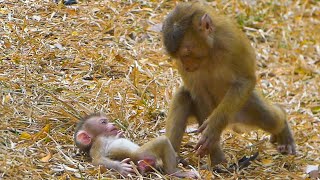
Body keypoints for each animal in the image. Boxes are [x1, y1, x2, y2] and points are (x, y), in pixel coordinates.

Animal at [161, 1, 296, 165]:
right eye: (179, 57)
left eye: (187, 53)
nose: (186, 66)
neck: (210, 53)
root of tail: (233, 122)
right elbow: (199, 94)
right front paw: (216, 156)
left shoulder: (231, 42)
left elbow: (245, 80)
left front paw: (214, 127)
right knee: (183, 96)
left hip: (245, 104)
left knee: (271, 119)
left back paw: (283, 127)